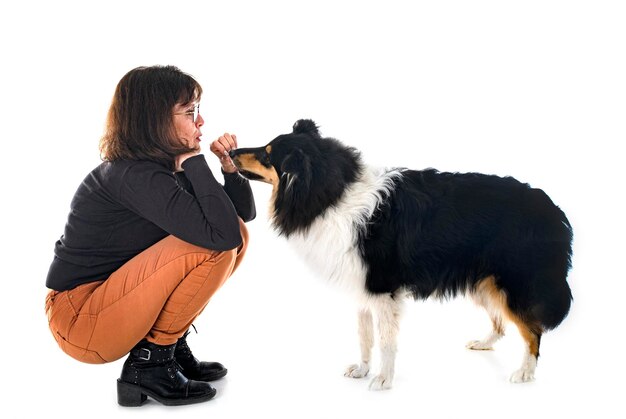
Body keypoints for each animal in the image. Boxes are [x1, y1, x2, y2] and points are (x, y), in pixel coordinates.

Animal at [228, 120, 572, 392]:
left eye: (267, 155)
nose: (230, 153)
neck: (330, 193)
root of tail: (552, 208)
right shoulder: (362, 287)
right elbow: (364, 336)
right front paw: (363, 369)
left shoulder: (382, 288)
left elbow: (386, 341)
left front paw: (383, 379)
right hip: (484, 280)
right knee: (502, 322)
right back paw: (484, 343)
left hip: (512, 282)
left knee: (532, 329)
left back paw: (524, 372)